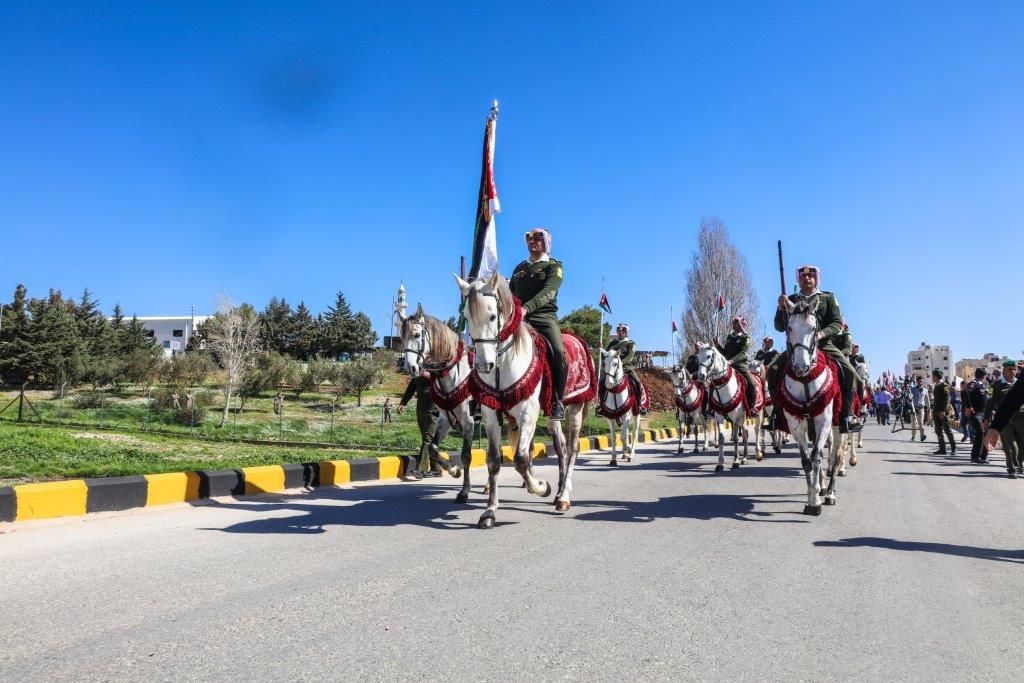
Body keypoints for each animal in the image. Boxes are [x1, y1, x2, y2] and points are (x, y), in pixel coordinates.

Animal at [399, 307, 471, 499]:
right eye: (402, 336)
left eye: (417, 334)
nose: (409, 368)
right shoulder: (446, 419)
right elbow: (432, 447)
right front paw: (453, 469)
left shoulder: (468, 421)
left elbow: (466, 456)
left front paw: (464, 491)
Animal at [456, 272, 593, 528]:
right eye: (467, 318)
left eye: (492, 315)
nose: (483, 365)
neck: (503, 362)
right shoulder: (490, 413)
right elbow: (494, 461)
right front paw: (489, 511)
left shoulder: (528, 412)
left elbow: (521, 459)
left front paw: (541, 486)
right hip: (552, 415)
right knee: (560, 447)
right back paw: (559, 492)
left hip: (576, 407)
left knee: (572, 448)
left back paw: (563, 496)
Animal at [692, 342, 765, 471]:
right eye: (697, 358)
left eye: (709, 356)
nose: (701, 375)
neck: (724, 387)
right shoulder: (720, 416)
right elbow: (721, 438)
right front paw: (720, 463)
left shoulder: (735, 418)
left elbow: (735, 438)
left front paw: (735, 461)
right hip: (743, 418)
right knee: (746, 433)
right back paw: (744, 458)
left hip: (758, 414)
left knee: (757, 430)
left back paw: (758, 453)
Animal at [778, 292, 843, 511]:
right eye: (789, 328)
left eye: (813, 328)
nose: (801, 367)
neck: (806, 380)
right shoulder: (796, 424)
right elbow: (806, 460)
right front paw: (810, 495)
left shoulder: (823, 421)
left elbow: (816, 456)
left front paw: (815, 501)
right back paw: (821, 486)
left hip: (838, 425)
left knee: (835, 454)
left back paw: (830, 492)